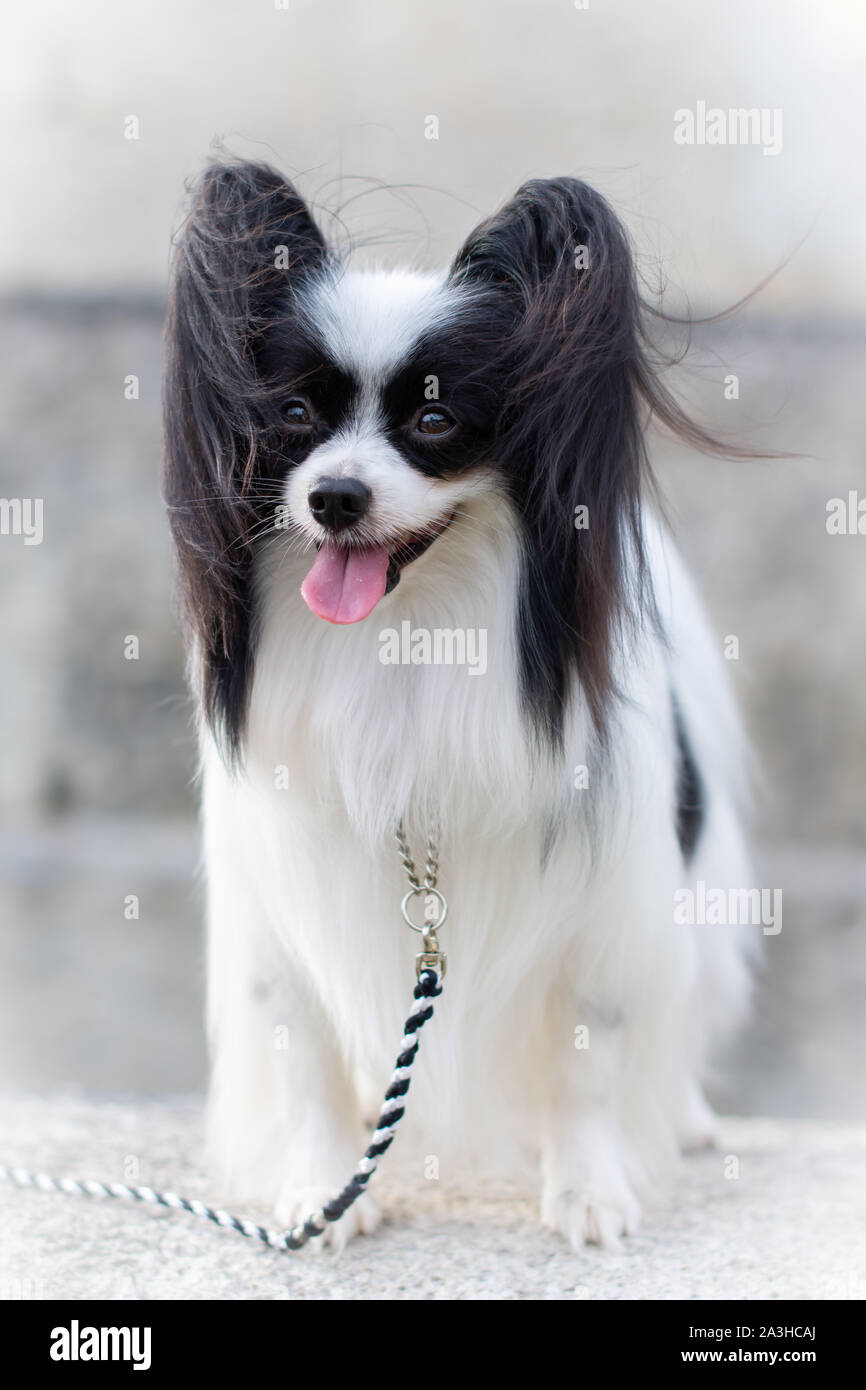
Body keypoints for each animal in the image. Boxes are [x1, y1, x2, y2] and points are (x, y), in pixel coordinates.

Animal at [166, 159, 756, 1251]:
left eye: (434, 423)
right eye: (294, 417)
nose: (335, 497)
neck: (407, 636)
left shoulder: (603, 899)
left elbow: (591, 1049)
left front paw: (588, 1193)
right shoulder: (285, 898)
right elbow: (301, 1050)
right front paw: (322, 1191)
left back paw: (688, 1120)